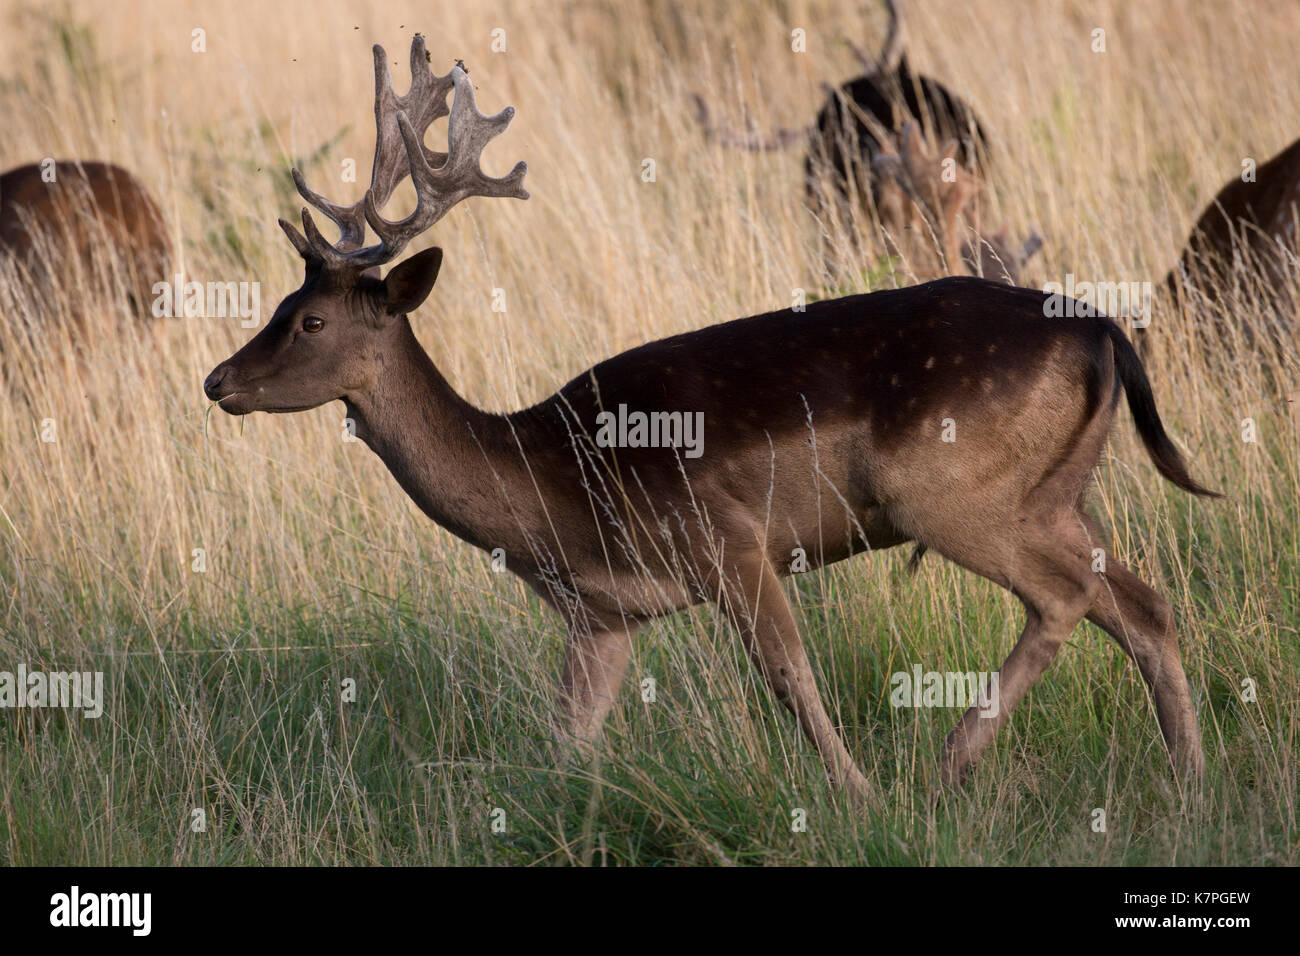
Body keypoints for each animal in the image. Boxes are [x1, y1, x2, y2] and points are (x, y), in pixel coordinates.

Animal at [205, 37, 1216, 806]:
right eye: (282, 303)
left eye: (310, 320)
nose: (219, 381)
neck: (552, 488)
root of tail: (1101, 328)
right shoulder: (603, 619)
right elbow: (566, 740)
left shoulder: (726, 538)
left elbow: (791, 677)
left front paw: (858, 797)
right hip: (1057, 495)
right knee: (1144, 602)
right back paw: (1188, 783)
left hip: (945, 489)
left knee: (1069, 597)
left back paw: (946, 765)